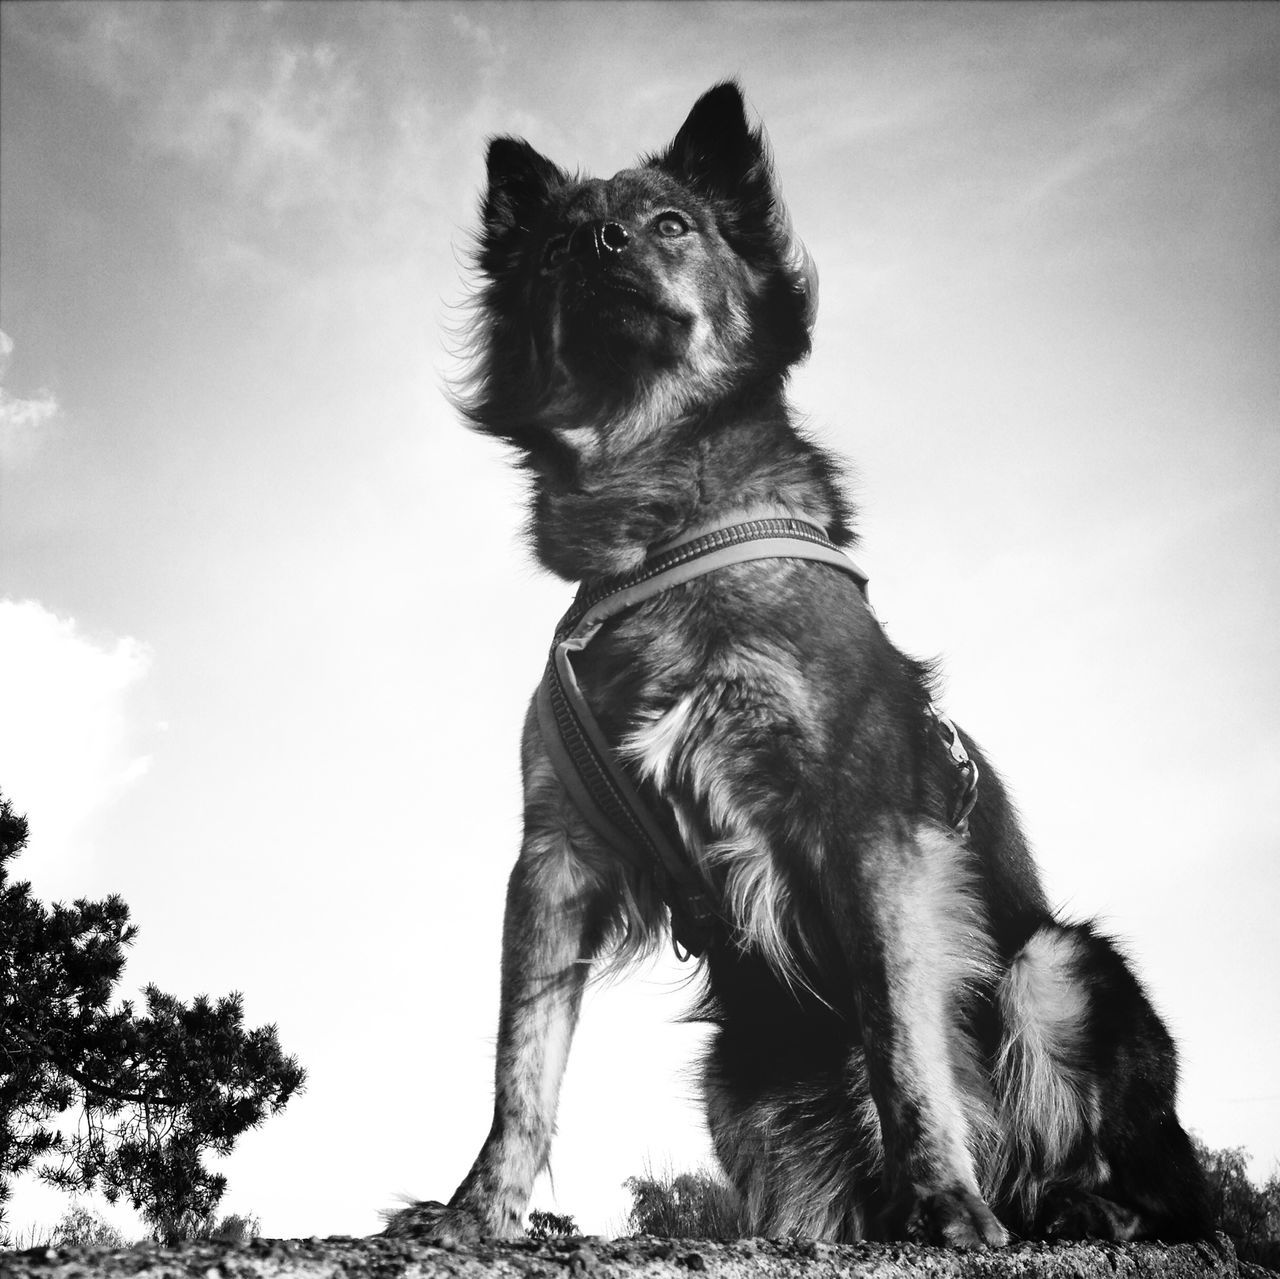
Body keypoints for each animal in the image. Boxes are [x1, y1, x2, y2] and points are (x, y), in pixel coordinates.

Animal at [389, 82, 1208, 1249]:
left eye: (669, 223)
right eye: (549, 250)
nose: (596, 245)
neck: (663, 531)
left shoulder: (865, 827)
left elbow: (901, 1041)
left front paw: (943, 1201)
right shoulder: (555, 857)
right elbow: (521, 1064)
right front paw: (474, 1211)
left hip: (1055, 964)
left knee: (1153, 1178)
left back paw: (1080, 1208)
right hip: (735, 1081)